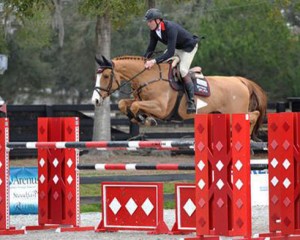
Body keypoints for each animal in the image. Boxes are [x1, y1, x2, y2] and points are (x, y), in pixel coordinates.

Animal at [92, 55, 268, 140]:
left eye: (106, 76)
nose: (95, 100)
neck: (149, 77)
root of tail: (241, 81)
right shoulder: (142, 101)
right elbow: (124, 103)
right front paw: (142, 118)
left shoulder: (161, 108)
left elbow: (135, 106)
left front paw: (147, 120)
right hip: (221, 114)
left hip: (235, 112)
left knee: (254, 115)